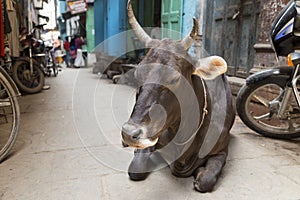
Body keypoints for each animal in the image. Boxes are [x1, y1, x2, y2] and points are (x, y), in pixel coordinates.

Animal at [120, 0, 236, 194]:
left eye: (174, 78)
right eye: (137, 73)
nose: (129, 133)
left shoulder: (222, 150)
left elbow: (206, 180)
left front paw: (200, 175)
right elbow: (135, 170)